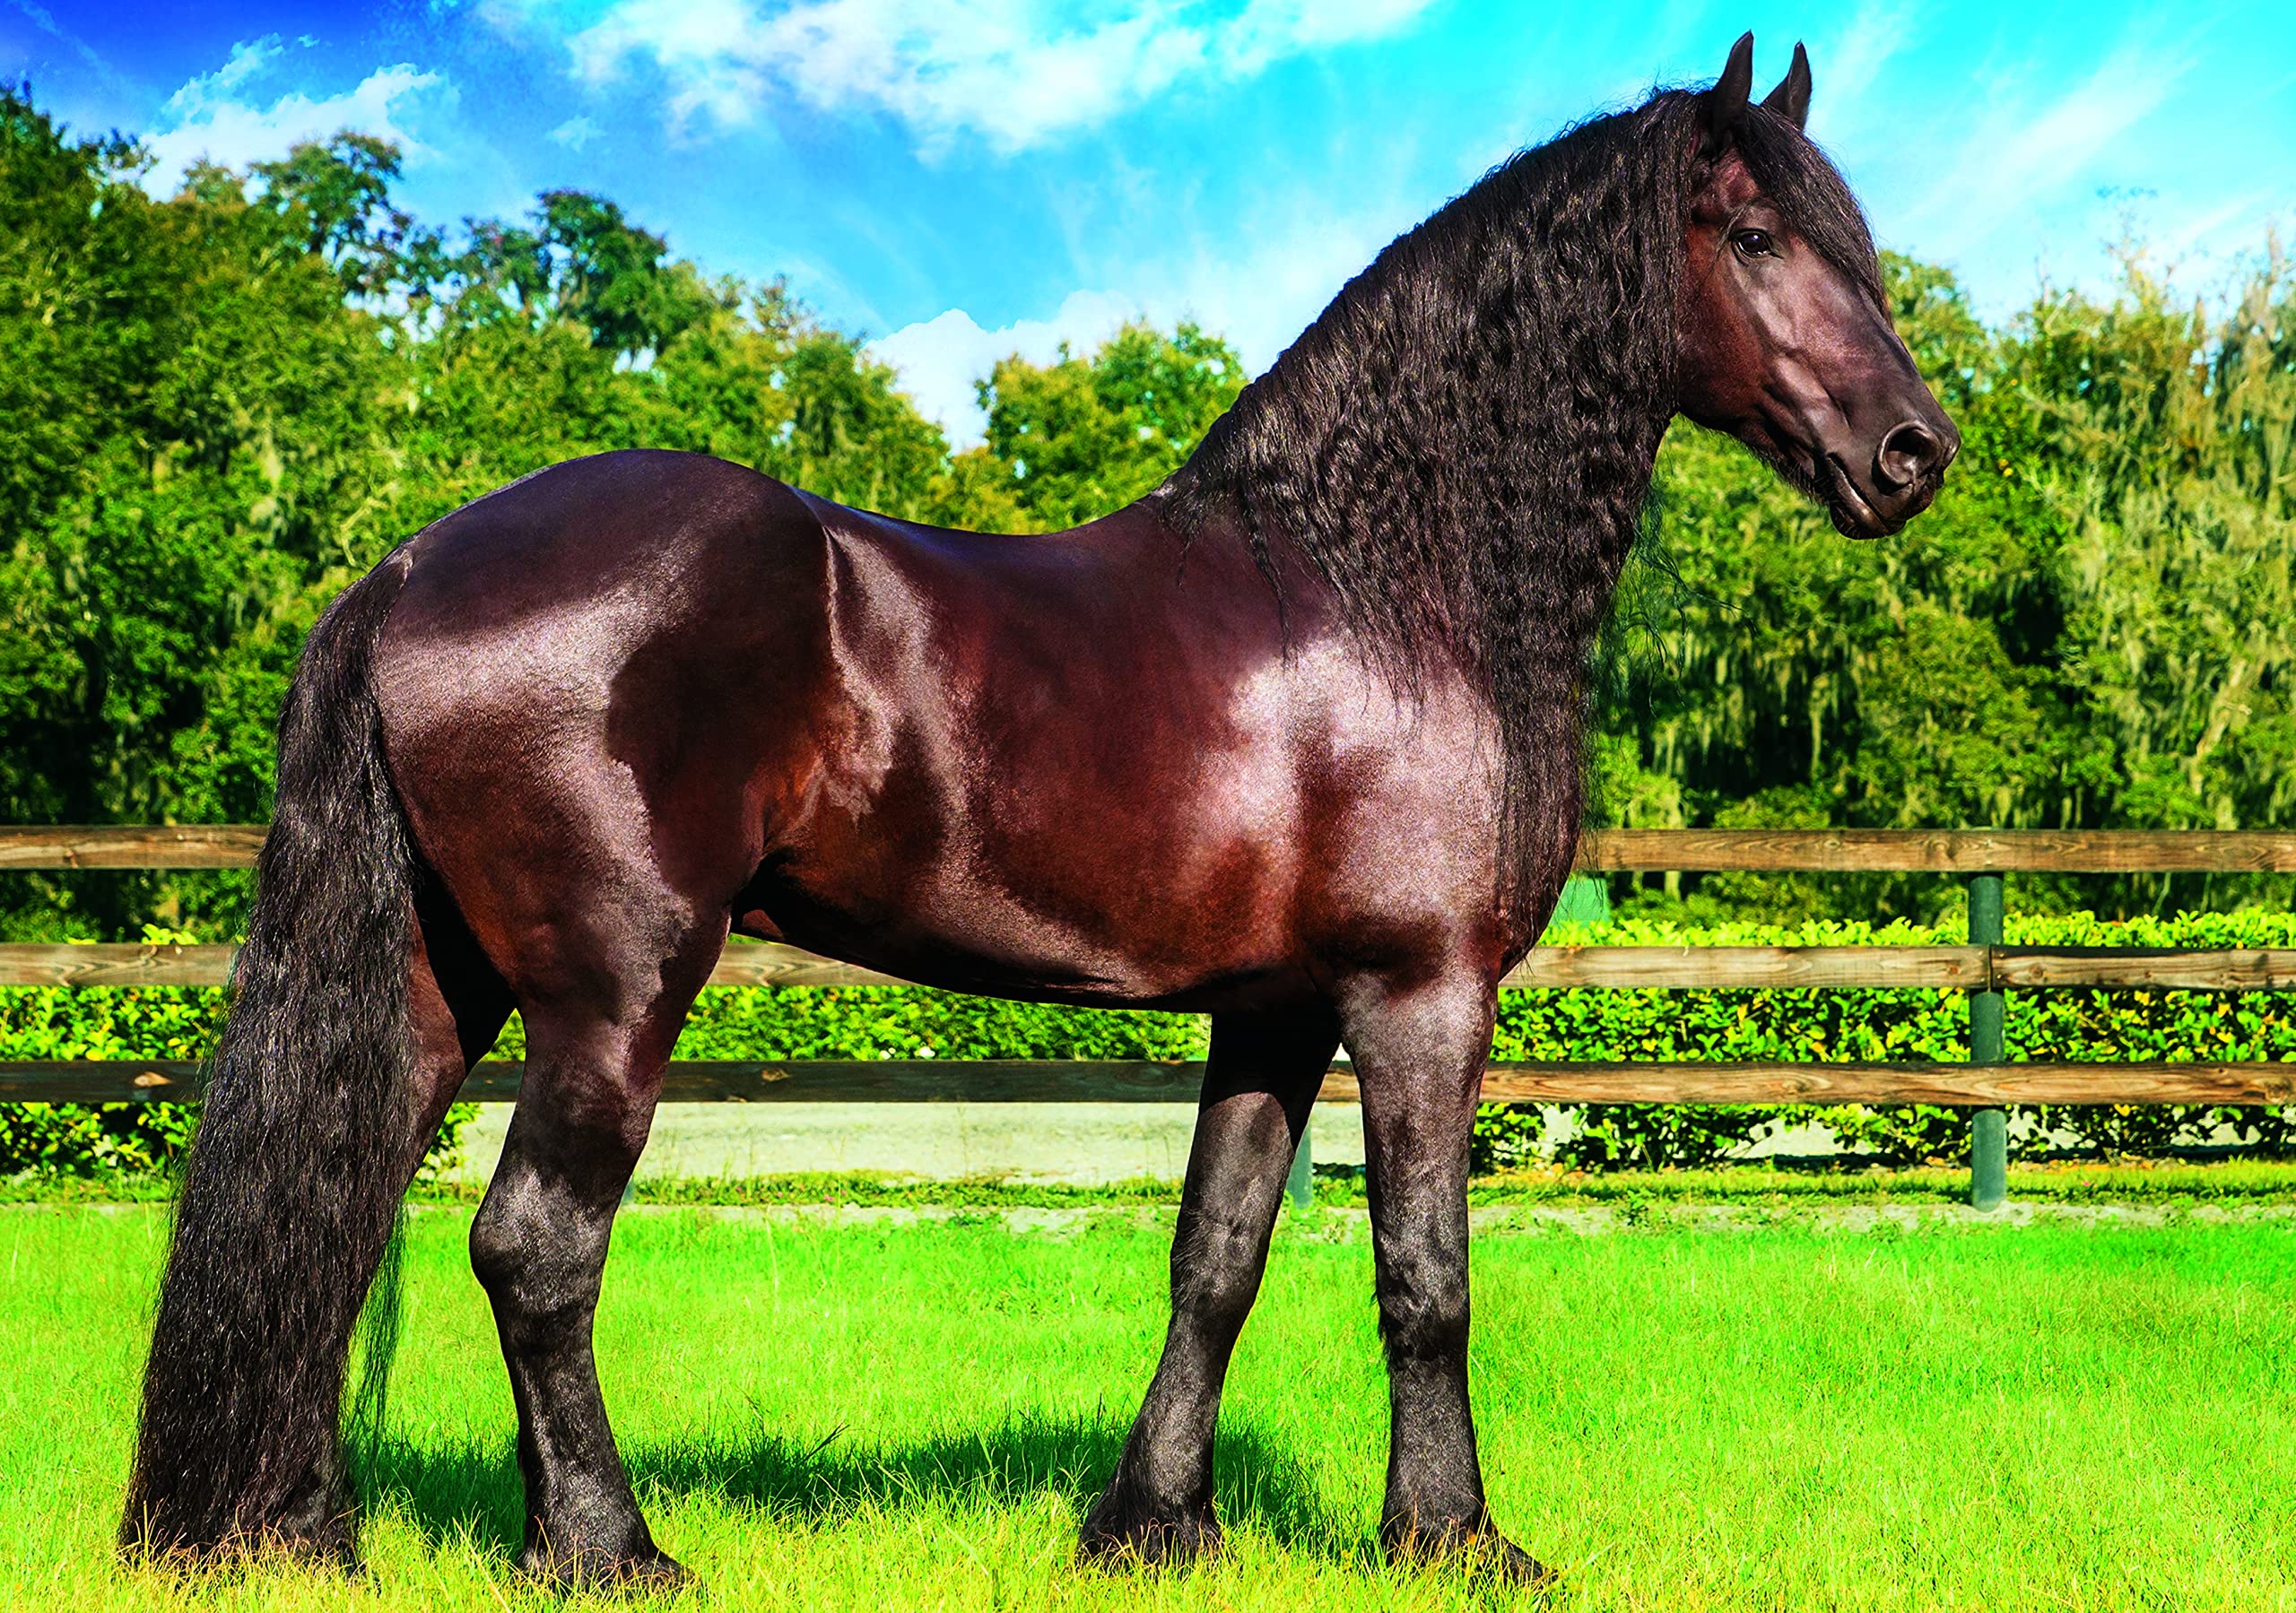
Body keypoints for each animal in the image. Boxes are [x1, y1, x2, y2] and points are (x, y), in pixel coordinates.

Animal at [123, 33, 1955, 1588]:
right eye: (1755, 233)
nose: (1915, 452)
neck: (1375, 580)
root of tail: (414, 562)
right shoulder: (1420, 993)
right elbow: (1425, 1275)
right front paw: (1454, 1539)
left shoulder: (1274, 1010)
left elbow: (1217, 1254)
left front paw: (1154, 1525)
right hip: (615, 988)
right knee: (533, 1245)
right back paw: (609, 1548)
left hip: (442, 985)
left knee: (335, 1223)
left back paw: (302, 1533)